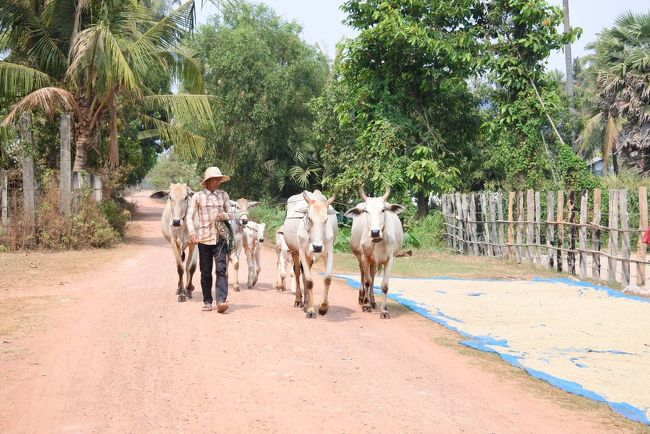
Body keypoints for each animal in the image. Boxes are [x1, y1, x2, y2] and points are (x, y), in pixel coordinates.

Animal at [280, 190, 336, 318]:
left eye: (326, 220)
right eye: (309, 218)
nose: (317, 247)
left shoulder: (329, 251)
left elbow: (327, 278)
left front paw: (323, 307)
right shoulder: (302, 252)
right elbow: (309, 281)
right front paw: (310, 310)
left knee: (305, 274)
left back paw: (306, 303)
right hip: (295, 252)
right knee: (297, 272)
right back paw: (299, 300)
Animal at [342, 186, 402, 318]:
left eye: (383, 210)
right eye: (366, 211)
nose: (375, 232)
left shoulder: (390, 259)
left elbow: (384, 286)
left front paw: (384, 311)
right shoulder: (365, 257)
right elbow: (367, 281)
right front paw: (366, 305)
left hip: (374, 262)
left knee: (373, 275)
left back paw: (373, 300)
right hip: (360, 257)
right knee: (363, 274)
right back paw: (362, 298)